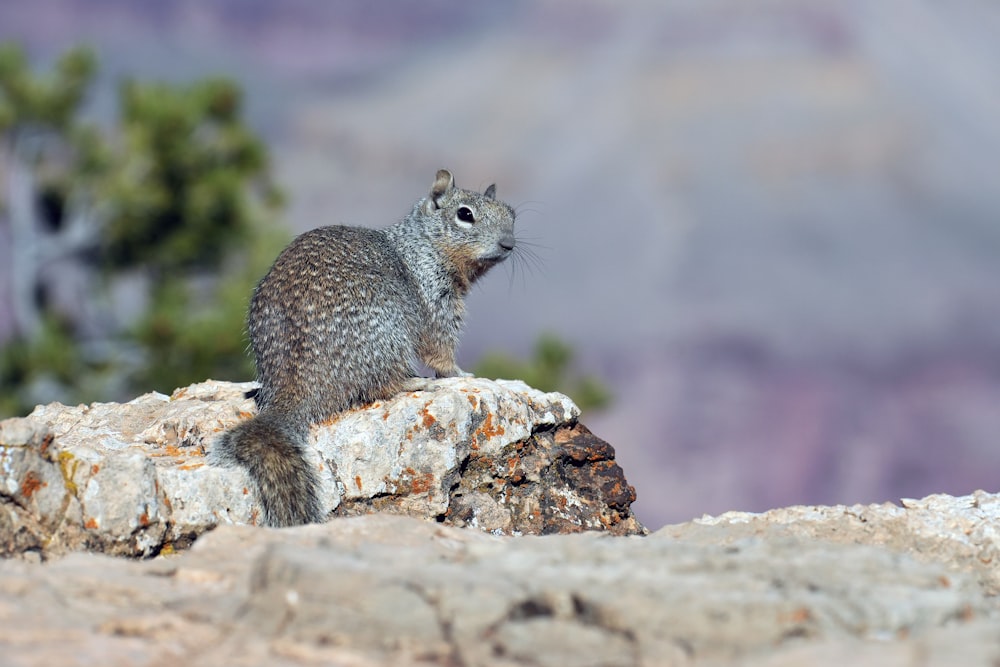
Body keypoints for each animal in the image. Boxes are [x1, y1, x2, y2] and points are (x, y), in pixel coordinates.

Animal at [216, 170, 520, 528]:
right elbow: (438, 345)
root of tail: (295, 388)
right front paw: (458, 372)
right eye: (465, 214)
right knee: (379, 386)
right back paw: (412, 382)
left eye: (511, 214)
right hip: (387, 333)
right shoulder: (435, 299)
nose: (508, 244)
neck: (421, 244)